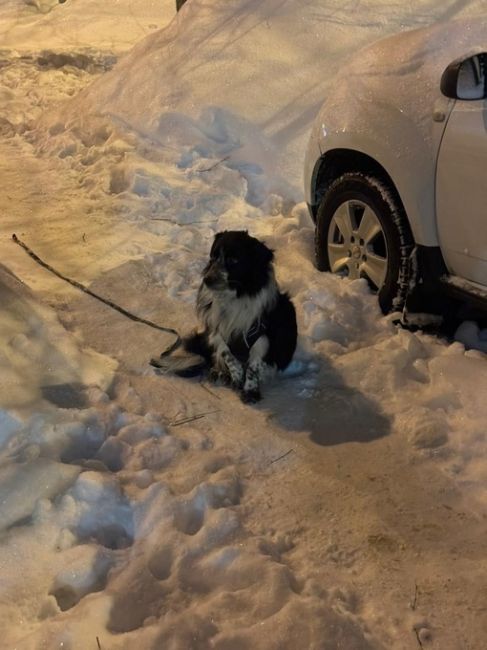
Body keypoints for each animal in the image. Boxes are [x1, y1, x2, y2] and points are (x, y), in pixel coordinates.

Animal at [183, 228, 298, 400]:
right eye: (213, 257)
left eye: (234, 260)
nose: (207, 279)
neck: (235, 296)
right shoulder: (217, 331)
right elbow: (228, 356)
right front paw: (236, 378)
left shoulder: (261, 337)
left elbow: (253, 365)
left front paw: (250, 390)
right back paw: (220, 373)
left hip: (288, 312)